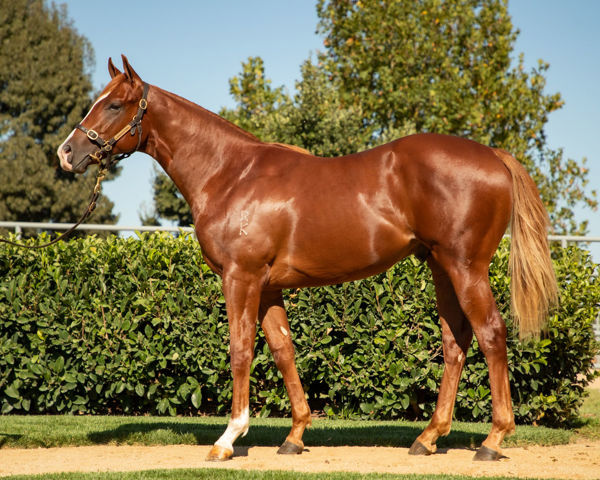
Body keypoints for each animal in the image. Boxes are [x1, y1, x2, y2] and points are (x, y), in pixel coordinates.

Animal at [57, 56, 556, 462]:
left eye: (114, 105)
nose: (67, 153)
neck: (231, 173)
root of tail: (493, 154)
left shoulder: (241, 278)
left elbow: (240, 349)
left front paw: (228, 438)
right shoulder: (269, 287)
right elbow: (283, 350)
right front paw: (295, 436)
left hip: (466, 267)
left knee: (492, 335)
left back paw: (493, 440)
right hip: (440, 268)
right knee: (456, 342)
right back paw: (428, 437)